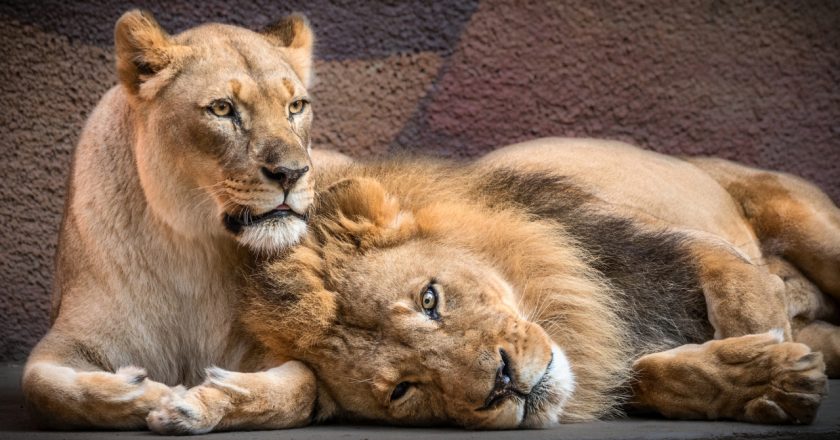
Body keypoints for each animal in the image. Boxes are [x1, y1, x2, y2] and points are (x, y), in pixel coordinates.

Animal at [23, 10, 352, 430]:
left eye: (295, 106)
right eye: (222, 109)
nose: (292, 173)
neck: (192, 245)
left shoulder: (283, 351)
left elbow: (299, 388)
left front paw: (197, 402)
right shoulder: (65, 340)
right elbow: (44, 388)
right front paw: (148, 393)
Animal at [148, 138, 836, 434]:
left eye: (429, 299)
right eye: (404, 389)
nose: (504, 382)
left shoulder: (673, 257)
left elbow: (746, 306)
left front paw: (762, 364)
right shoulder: (605, 347)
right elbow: (647, 373)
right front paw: (758, 382)